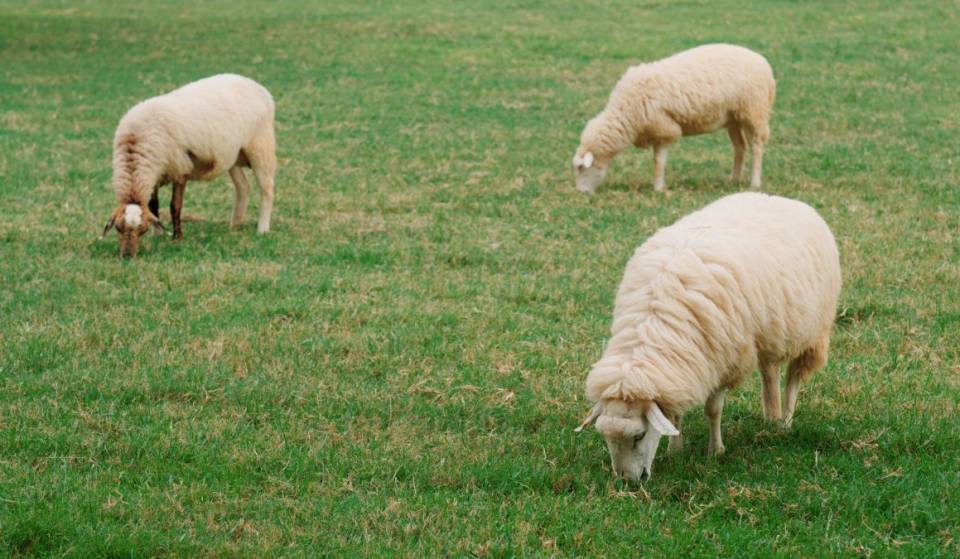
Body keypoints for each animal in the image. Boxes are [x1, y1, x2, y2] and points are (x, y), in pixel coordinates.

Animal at [101, 73, 276, 257]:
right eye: (118, 228)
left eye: (141, 229)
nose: (127, 256)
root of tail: (254, 84)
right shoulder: (155, 173)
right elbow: (154, 205)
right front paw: (158, 235)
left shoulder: (180, 169)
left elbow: (175, 206)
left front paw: (177, 237)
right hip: (232, 155)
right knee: (243, 186)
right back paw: (234, 224)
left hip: (261, 144)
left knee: (267, 188)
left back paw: (262, 228)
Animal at [571, 44, 776, 194]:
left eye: (581, 168)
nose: (581, 193)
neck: (625, 112)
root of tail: (763, 62)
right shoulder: (655, 131)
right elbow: (657, 160)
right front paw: (659, 186)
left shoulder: (665, 128)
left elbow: (658, 161)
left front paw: (658, 188)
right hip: (733, 118)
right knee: (740, 147)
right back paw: (733, 179)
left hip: (753, 111)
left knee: (756, 146)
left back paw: (754, 183)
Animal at [574, 192, 840, 481]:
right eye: (605, 438)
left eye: (639, 435)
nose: (628, 482)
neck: (654, 323)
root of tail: (782, 199)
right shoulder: (680, 370)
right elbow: (674, 416)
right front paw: (675, 450)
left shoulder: (724, 358)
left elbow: (713, 410)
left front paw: (716, 451)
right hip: (769, 332)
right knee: (770, 371)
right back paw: (771, 416)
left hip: (811, 331)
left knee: (793, 378)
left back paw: (785, 422)